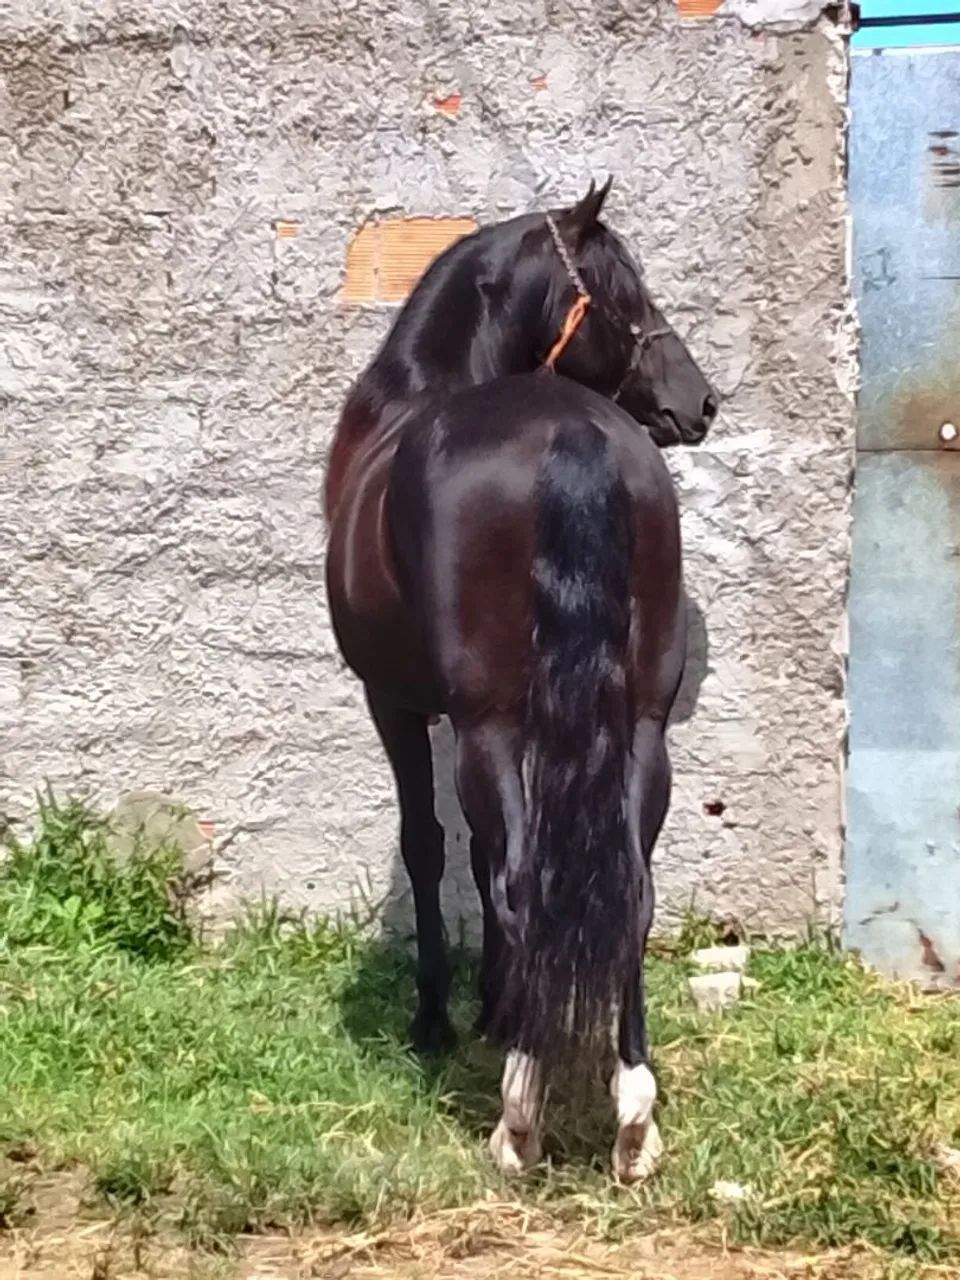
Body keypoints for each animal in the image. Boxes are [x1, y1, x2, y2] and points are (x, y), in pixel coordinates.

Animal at [325, 180, 716, 1181]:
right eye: (625, 294)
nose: (699, 401)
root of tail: (570, 427)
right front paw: (501, 1002)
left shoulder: (400, 705)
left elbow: (435, 847)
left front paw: (440, 1018)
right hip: (641, 723)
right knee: (631, 890)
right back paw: (633, 1120)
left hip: (489, 720)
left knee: (519, 880)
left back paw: (519, 1119)